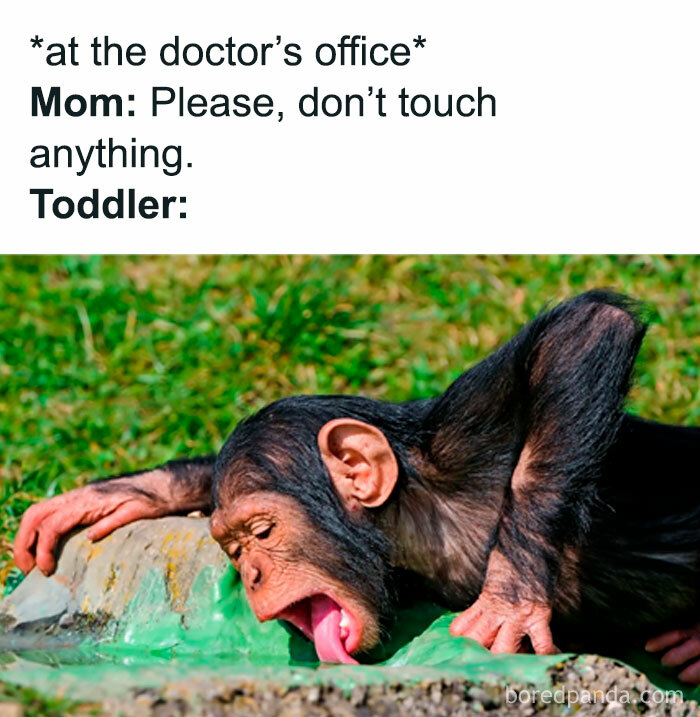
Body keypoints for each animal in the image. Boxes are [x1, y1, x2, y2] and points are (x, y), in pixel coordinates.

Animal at [12, 291, 700, 680]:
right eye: (233, 549)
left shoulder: (465, 439)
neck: (411, 520)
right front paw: (121, 493)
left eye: (262, 532)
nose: (251, 574)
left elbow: (584, 332)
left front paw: (509, 599)